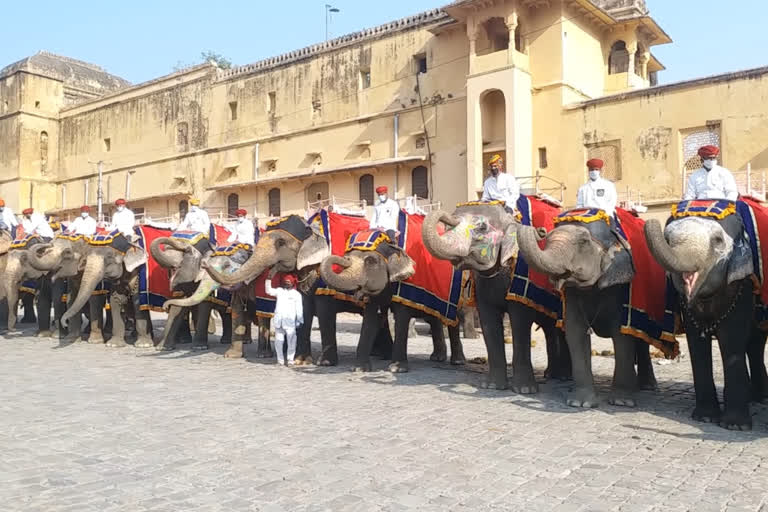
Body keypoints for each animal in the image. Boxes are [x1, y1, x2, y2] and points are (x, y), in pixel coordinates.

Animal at [320, 231, 464, 372]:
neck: (392, 245)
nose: (345, 258)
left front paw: (396, 369)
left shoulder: (404, 287)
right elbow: (370, 319)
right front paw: (359, 369)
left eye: (370, 261)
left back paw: (457, 361)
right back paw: (437, 358)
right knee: (434, 320)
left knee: (454, 321)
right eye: (347, 256)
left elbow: (401, 318)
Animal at [424, 200, 572, 392]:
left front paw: (524, 390)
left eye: (482, 227)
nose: (541, 231)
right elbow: (489, 323)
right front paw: (492, 386)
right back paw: (551, 375)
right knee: (549, 329)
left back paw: (564, 377)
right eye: (449, 226)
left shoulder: (518, 282)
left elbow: (520, 322)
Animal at [516, 208, 660, 408]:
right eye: (548, 236)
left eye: (583, 241)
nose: (540, 230)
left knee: (641, 338)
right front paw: (579, 403)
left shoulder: (621, 286)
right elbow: (575, 331)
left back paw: (646, 387)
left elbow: (621, 335)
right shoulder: (573, 294)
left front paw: (621, 402)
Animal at [644, 203, 764, 428]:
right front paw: (705, 417)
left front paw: (735, 425)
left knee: (755, 341)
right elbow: (696, 341)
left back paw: (759, 399)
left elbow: (731, 339)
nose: (651, 220)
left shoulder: (742, 283)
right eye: (667, 238)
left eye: (717, 240)